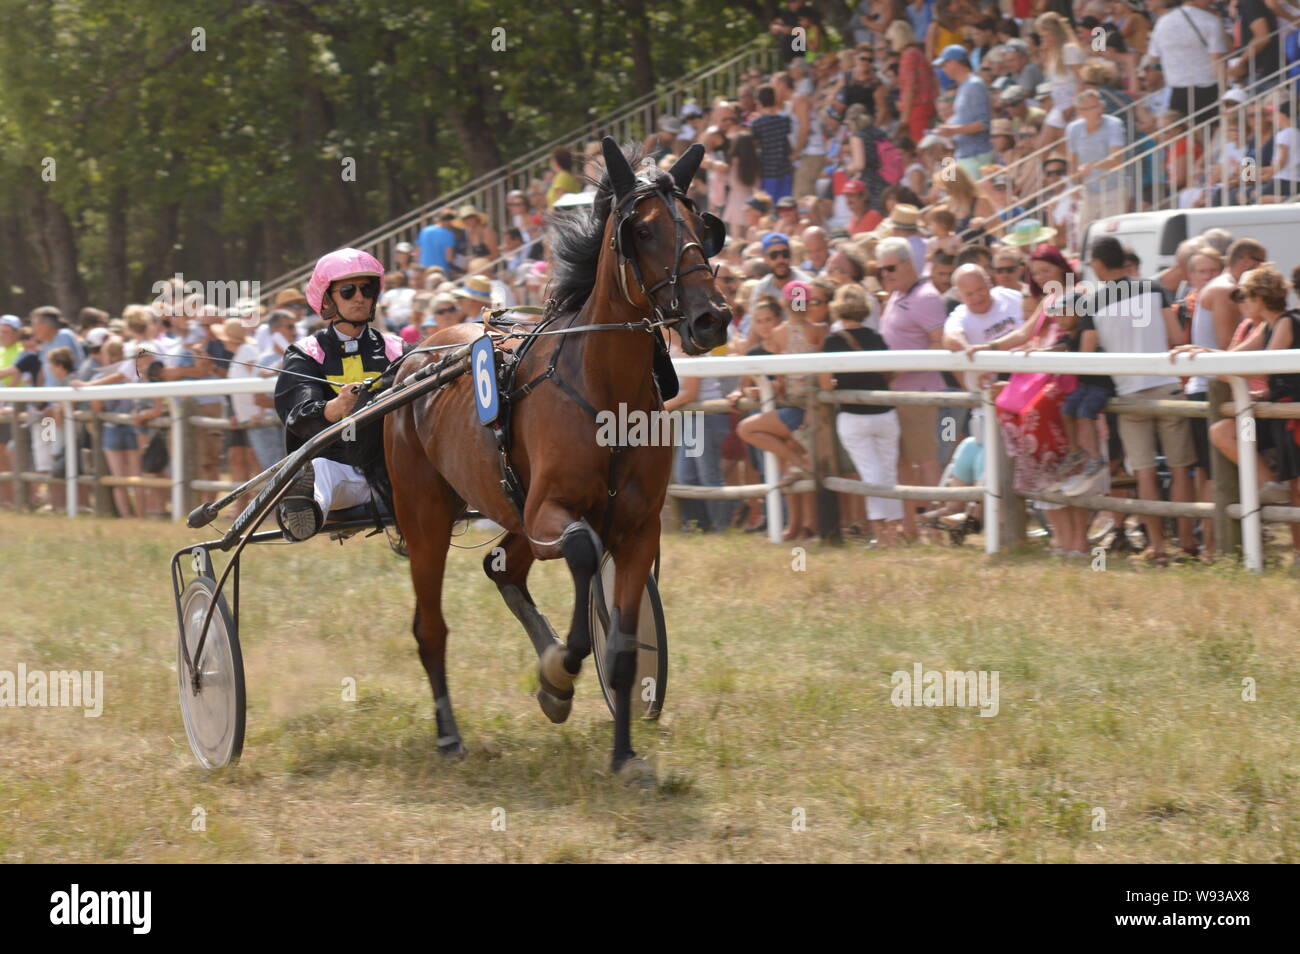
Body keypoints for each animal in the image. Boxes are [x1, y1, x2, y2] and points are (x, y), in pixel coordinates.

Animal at [382, 140, 733, 785]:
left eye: (704, 227)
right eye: (643, 230)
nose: (711, 318)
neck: (605, 391)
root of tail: (414, 356)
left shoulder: (637, 529)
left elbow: (622, 648)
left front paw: (623, 754)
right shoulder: (552, 512)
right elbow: (582, 552)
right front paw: (559, 671)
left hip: (509, 508)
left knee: (501, 567)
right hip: (426, 514)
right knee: (430, 626)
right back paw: (449, 735)